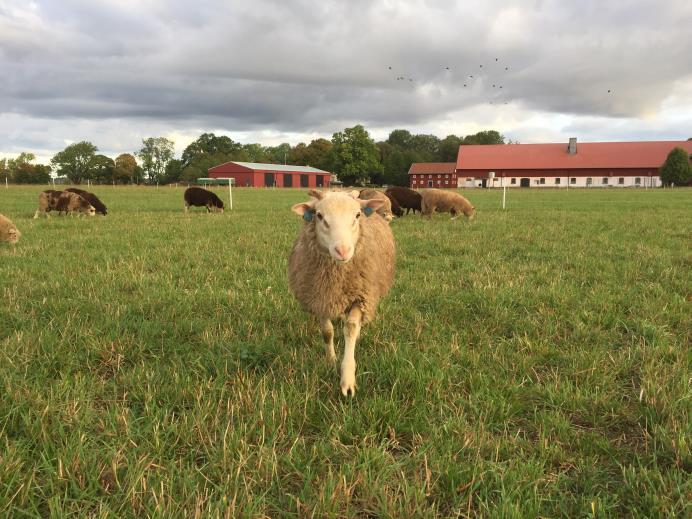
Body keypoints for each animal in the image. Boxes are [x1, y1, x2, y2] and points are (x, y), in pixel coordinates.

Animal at [286, 191, 394, 398]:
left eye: (358, 215)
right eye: (319, 216)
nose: (342, 251)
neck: (337, 278)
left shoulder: (361, 297)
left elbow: (351, 328)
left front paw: (347, 378)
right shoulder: (320, 297)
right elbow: (327, 332)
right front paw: (330, 360)